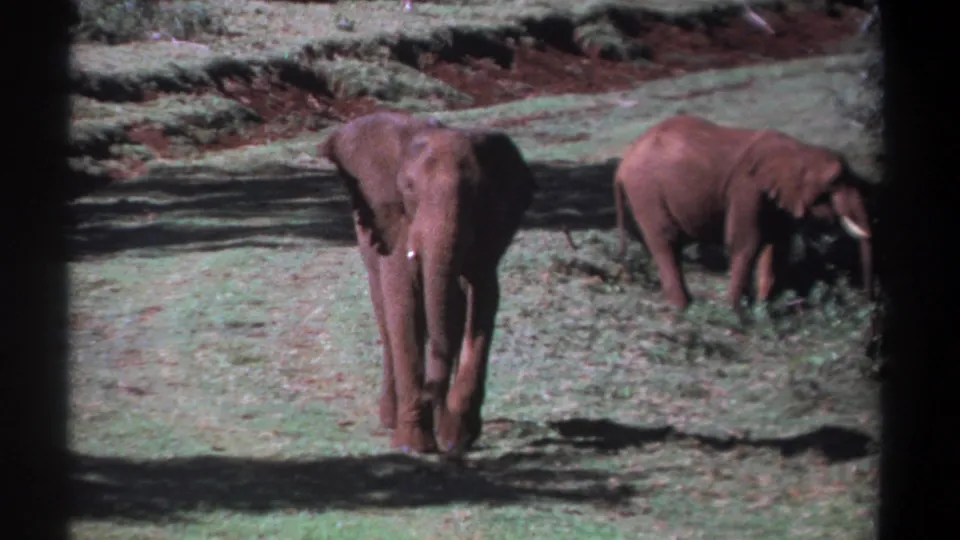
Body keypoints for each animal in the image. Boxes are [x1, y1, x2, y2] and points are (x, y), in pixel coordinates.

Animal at [318, 112, 537, 454]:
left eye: (479, 192)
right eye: (408, 187)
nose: (430, 395)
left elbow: (483, 298)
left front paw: (456, 438)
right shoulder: (396, 224)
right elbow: (403, 301)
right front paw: (414, 446)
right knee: (386, 312)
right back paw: (391, 419)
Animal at [612, 114, 873, 317]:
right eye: (834, 181)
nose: (865, 298)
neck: (799, 150)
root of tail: (623, 164)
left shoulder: (777, 199)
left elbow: (778, 247)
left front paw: (764, 310)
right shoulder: (746, 188)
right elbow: (746, 242)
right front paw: (736, 313)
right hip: (646, 190)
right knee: (665, 241)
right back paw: (683, 308)